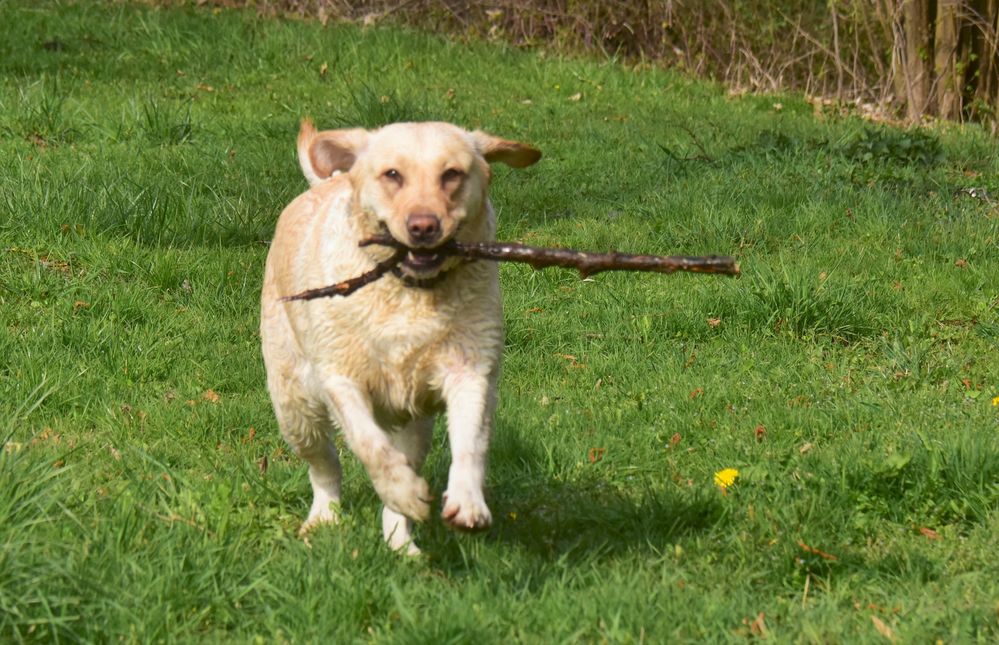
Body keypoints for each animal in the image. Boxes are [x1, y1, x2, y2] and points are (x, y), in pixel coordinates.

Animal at [258, 118, 540, 552]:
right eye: (393, 174)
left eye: (451, 174)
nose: (423, 226)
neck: (409, 292)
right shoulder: (339, 377)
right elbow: (369, 444)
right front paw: (402, 490)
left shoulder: (470, 369)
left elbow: (471, 441)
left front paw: (466, 501)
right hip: (295, 404)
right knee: (324, 465)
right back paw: (325, 516)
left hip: (414, 421)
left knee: (405, 459)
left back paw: (401, 542)